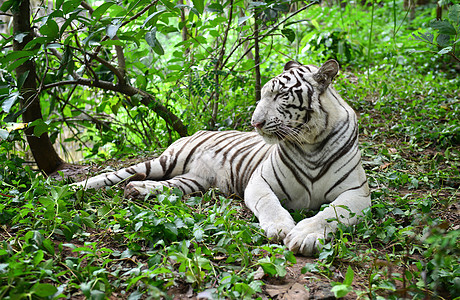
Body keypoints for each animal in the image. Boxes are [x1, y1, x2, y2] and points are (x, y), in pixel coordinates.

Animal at [73, 60, 372, 255]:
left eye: (281, 95)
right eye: (265, 94)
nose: (255, 123)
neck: (310, 143)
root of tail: (196, 131)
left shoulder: (357, 193)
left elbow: (330, 213)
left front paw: (304, 235)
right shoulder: (260, 182)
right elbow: (270, 204)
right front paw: (281, 228)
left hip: (193, 181)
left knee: (161, 185)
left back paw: (137, 190)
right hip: (164, 161)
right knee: (113, 174)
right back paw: (75, 187)